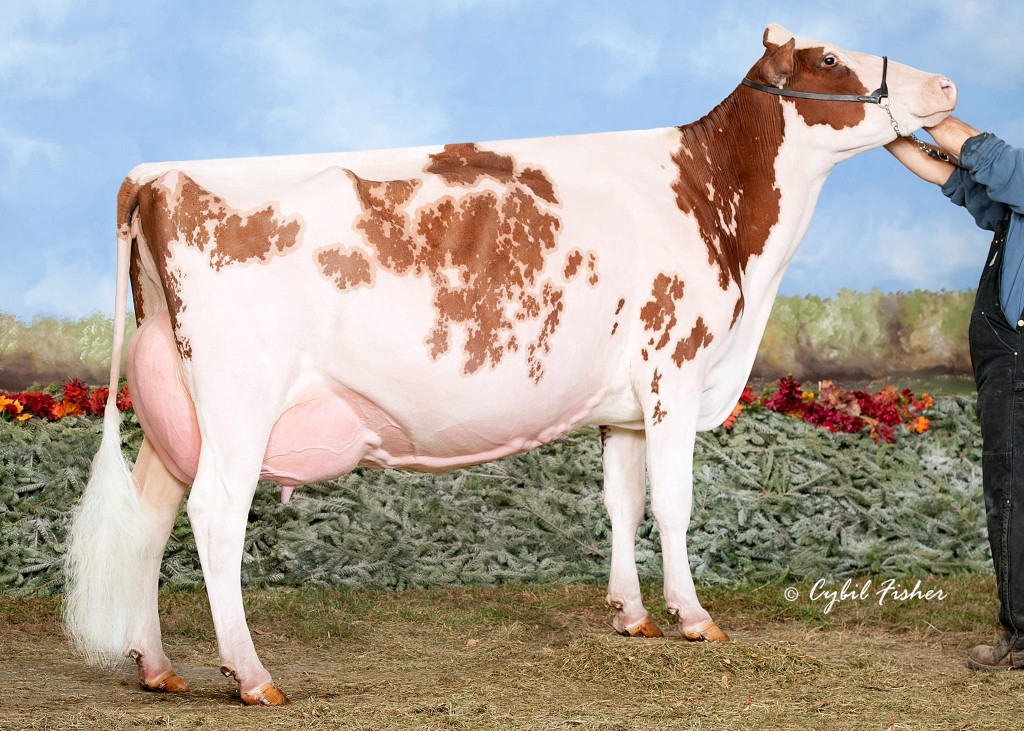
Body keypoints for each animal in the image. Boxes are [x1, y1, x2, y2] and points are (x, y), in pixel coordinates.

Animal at [64, 25, 956, 705]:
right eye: (831, 57)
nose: (947, 83)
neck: (721, 212)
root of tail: (158, 175)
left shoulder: (624, 403)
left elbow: (623, 502)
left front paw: (631, 613)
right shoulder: (673, 369)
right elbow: (674, 503)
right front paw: (693, 615)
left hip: (178, 407)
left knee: (149, 516)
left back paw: (157, 666)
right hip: (239, 398)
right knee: (214, 516)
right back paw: (252, 675)